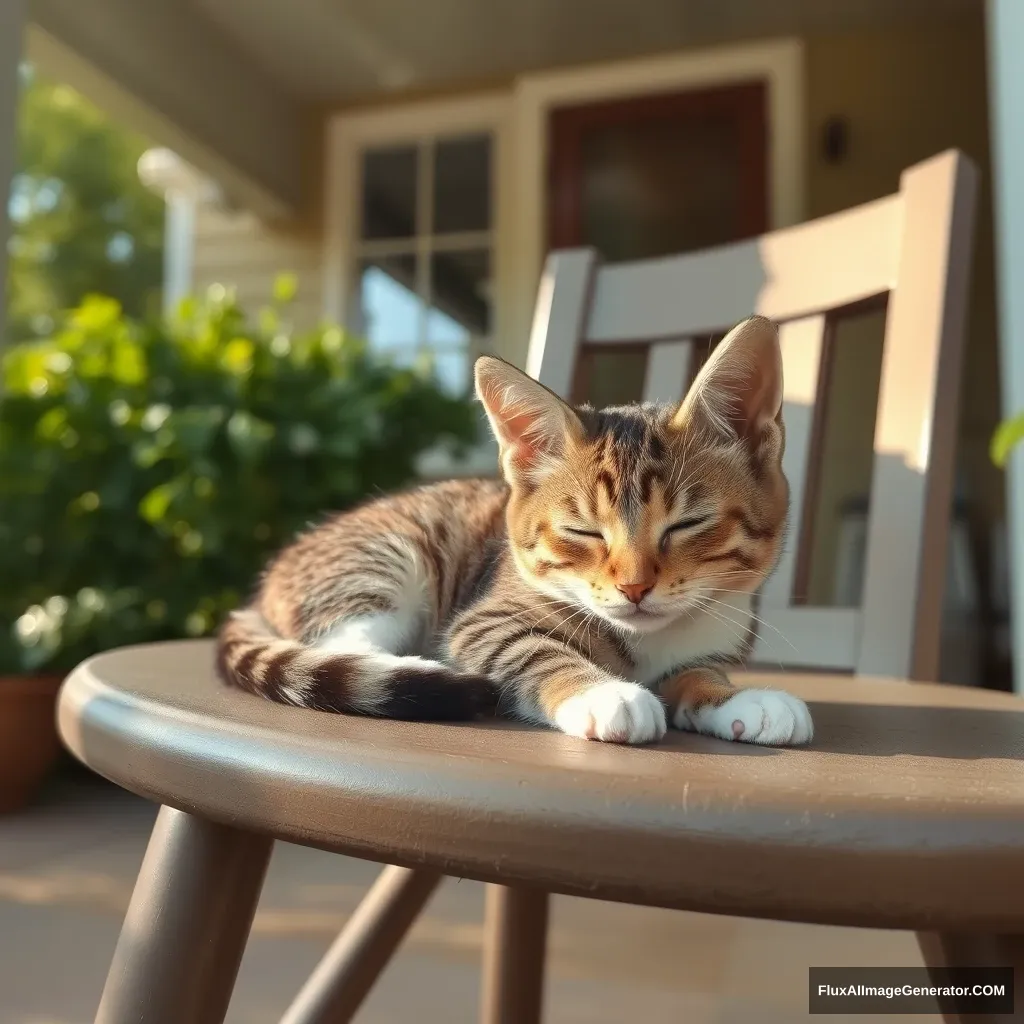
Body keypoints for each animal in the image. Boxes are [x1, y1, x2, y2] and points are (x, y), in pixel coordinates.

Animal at [218, 315, 815, 749]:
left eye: (687, 524)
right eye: (583, 531)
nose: (634, 587)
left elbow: (698, 671)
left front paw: (736, 698)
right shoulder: (485, 617)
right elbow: (527, 647)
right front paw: (602, 694)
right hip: (380, 558)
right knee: (343, 639)